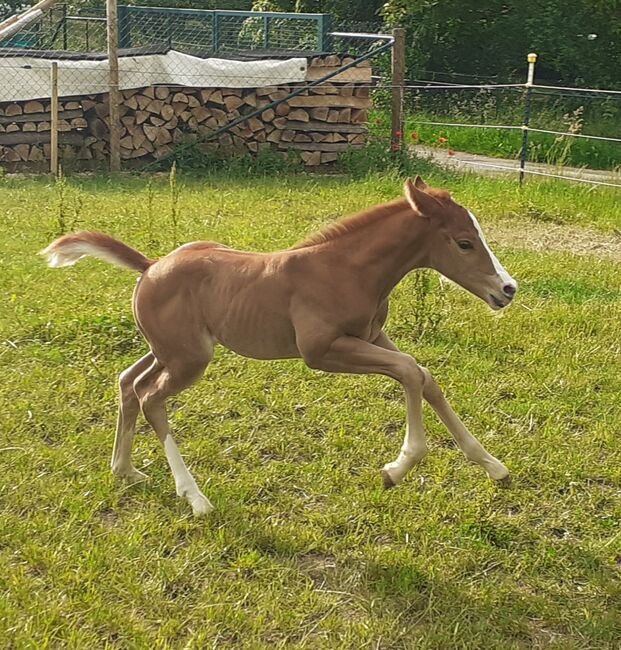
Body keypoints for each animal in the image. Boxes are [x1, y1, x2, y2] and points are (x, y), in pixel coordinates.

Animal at [42, 175, 520, 512]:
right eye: (464, 242)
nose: (508, 289)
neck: (347, 269)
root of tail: (151, 265)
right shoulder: (321, 350)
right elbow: (407, 371)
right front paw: (397, 468)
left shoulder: (371, 336)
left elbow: (423, 374)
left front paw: (494, 466)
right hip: (189, 359)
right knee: (150, 398)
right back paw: (195, 497)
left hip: (170, 350)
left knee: (128, 382)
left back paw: (124, 470)